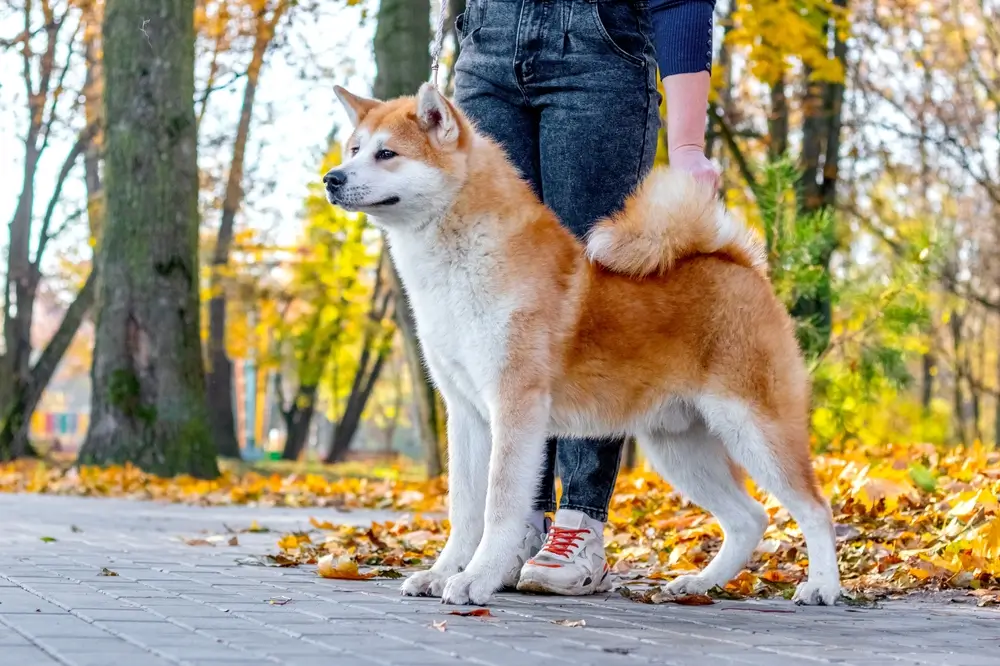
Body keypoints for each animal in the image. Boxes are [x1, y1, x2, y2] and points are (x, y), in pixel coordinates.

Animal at [324, 80, 840, 604]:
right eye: (354, 149)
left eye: (387, 153)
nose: (332, 178)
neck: (463, 261)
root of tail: (737, 262)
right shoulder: (466, 412)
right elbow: (464, 509)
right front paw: (442, 572)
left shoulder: (516, 406)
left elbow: (498, 505)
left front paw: (476, 578)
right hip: (679, 446)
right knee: (748, 518)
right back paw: (700, 582)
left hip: (755, 429)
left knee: (814, 509)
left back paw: (822, 587)